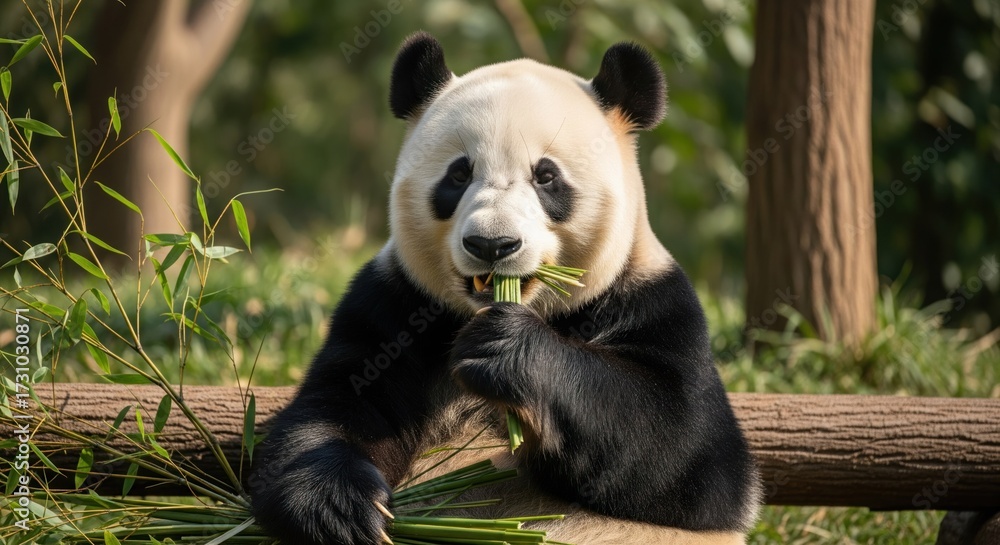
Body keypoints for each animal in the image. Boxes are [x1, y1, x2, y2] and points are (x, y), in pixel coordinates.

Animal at [249, 33, 761, 545]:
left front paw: (506, 349)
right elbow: (337, 405)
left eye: (546, 176)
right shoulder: (395, 302)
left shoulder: (653, 302)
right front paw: (338, 508)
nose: (492, 244)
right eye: (459, 174)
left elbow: (689, 451)